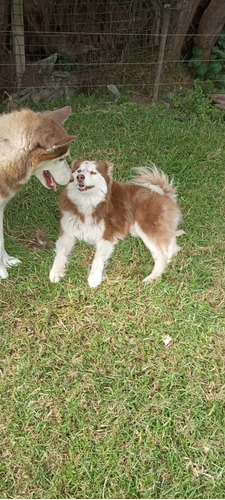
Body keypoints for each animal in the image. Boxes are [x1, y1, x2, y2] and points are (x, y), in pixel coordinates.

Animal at [49, 158, 183, 288]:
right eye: (79, 171)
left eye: (93, 172)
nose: (80, 177)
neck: (87, 202)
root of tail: (163, 194)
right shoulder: (67, 233)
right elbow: (60, 254)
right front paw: (55, 272)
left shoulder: (106, 236)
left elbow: (97, 259)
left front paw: (94, 278)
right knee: (169, 242)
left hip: (144, 227)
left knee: (162, 256)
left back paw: (151, 278)